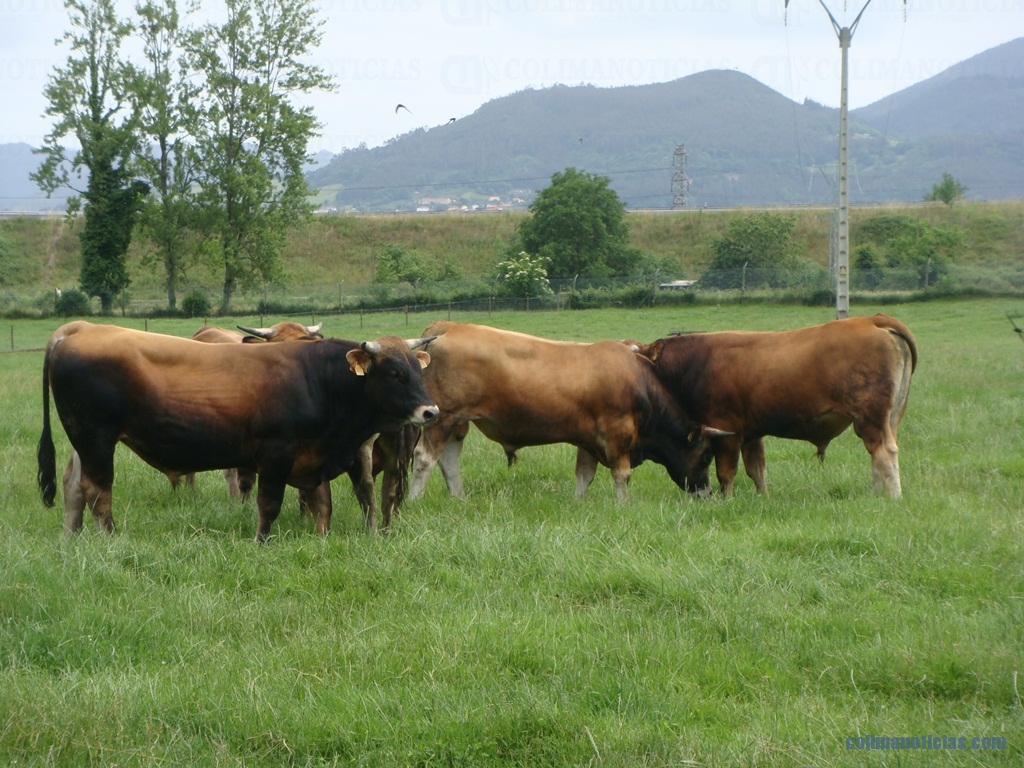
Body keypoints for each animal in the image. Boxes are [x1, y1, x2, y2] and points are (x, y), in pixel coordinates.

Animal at [37, 321, 438, 541]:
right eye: (394, 373)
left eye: (417, 370)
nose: (430, 410)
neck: (318, 378)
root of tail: (76, 330)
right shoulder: (276, 454)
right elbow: (269, 504)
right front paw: (262, 542)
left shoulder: (317, 457)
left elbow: (327, 504)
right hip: (96, 439)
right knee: (98, 491)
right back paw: (110, 537)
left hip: (83, 440)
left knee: (74, 485)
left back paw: (72, 537)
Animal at [407, 321, 716, 502]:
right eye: (705, 456)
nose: (706, 492)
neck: (638, 380)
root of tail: (447, 326)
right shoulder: (617, 435)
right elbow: (622, 474)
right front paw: (624, 504)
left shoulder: (589, 439)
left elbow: (584, 474)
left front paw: (578, 503)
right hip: (441, 418)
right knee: (424, 459)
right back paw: (414, 500)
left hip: (457, 422)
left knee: (449, 461)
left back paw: (459, 499)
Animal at [635, 314, 917, 497]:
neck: (696, 361)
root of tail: (871, 319)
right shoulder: (751, 433)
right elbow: (756, 469)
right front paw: (763, 497)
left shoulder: (727, 432)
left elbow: (726, 472)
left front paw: (726, 500)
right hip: (890, 417)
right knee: (877, 455)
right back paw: (876, 494)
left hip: (871, 417)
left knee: (884, 452)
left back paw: (893, 496)